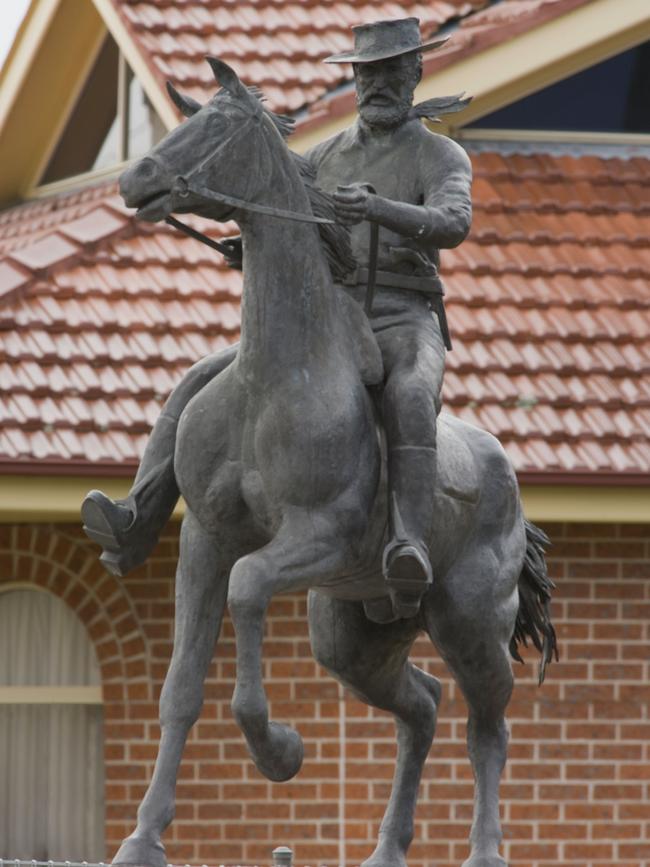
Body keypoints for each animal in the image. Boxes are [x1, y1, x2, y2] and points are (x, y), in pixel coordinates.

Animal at [111, 59, 552, 867]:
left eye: (218, 125)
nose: (138, 179)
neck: (276, 374)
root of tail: (508, 481)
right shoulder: (205, 540)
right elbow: (181, 685)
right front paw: (144, 835)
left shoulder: (315, 537)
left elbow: (249, 590)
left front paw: (279, 749)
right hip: (355, 639)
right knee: (422, 708)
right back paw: (387, 848)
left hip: (470, 623)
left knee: (488, 724)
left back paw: (483, 849)